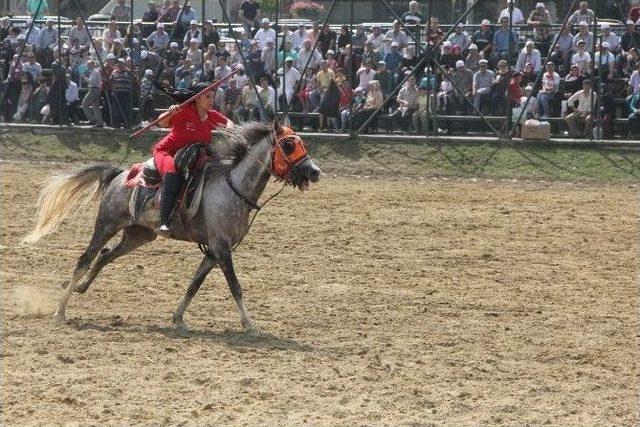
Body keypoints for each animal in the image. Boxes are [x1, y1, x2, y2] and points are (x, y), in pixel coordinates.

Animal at [22, 120, 322, 334]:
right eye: (288, 145)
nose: (315, 171)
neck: (232, 188)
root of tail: (119, 175)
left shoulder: (213, 251)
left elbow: (194, 284)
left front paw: (178, 318)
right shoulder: (222, 249)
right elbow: (235, 286)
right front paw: (249, 325)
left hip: (138, 235)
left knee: (105, 256)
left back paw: (80, 289)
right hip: (106, 225)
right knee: (85, 259)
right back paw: (60, 311)